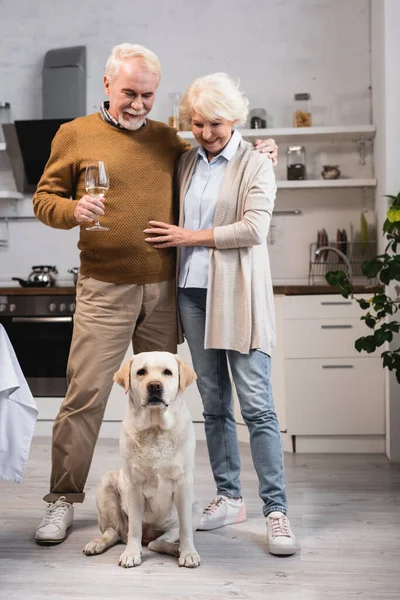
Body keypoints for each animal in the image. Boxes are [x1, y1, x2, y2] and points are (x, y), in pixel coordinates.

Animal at [83, 354, 202, 568]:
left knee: (157, 542)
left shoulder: (183, 484)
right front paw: (131, 554)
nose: (154, 386)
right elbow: (134, 528)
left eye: (167, 372)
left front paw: (188, 553)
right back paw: (97, 544)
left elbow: (186, 529)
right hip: (107, 485)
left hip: (196, 509)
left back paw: (176, 548)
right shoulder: (133, 486)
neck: (155, 428)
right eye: (141, 372)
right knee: (114, 532)